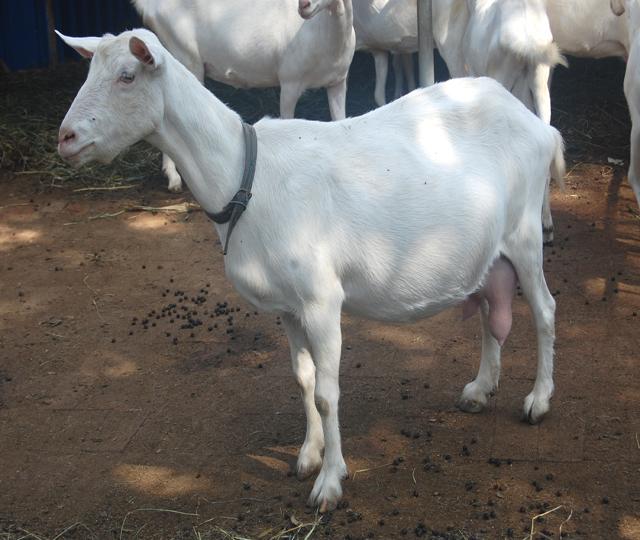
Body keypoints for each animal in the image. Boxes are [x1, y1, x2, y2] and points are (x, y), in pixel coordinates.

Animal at [57, 28, 564, 510]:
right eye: (90, 70)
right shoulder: (288, 306)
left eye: (127, 76)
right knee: (491, 309)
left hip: (524, 234)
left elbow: (326, 392)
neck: (248, 177)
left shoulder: (322, 299)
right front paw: (307, 456)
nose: (66, 138)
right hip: (489, 251)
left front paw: (330, 483)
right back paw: (479, 389)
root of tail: (538, 127)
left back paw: (538, 401)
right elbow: (303, 381)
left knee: (545, 309)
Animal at [131, 0, 356, 193]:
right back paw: (174, 179)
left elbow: (342, 121)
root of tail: (150, 6)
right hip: (185, 57)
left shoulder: (338, 82)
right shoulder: (290, 82)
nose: (303, 6)